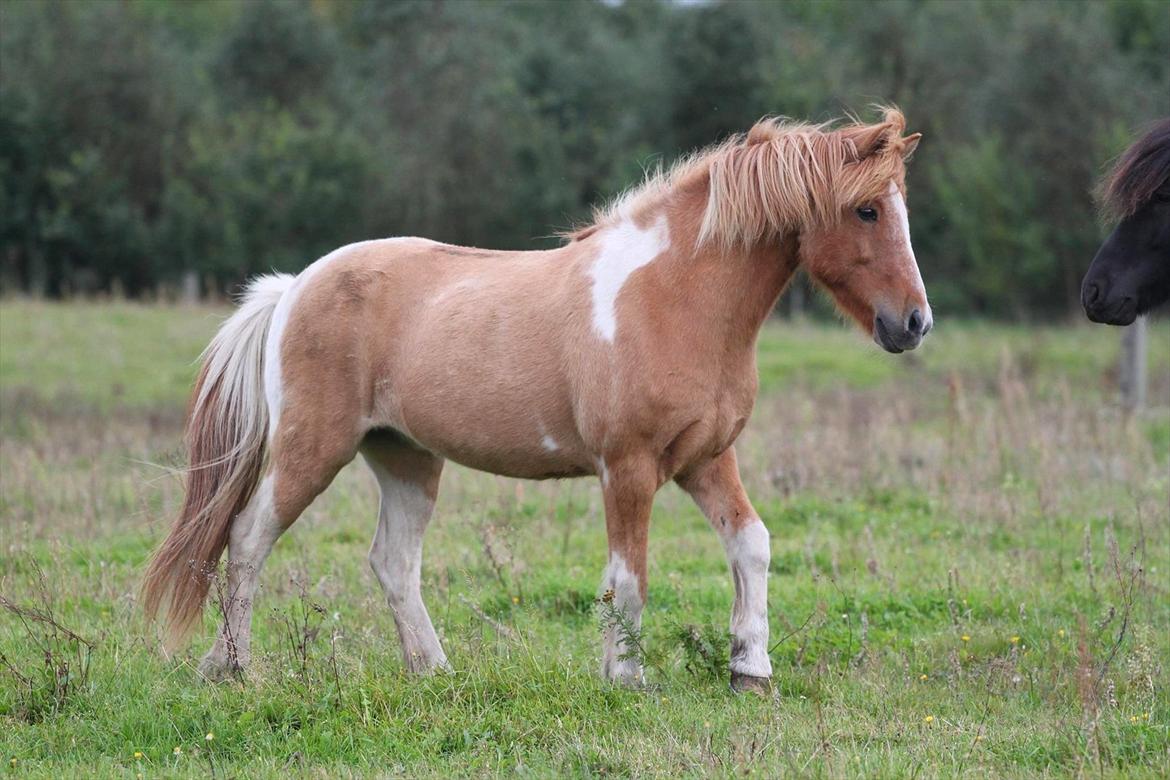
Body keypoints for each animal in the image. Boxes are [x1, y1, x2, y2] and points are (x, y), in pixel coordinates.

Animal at [143, 108, 931, 687]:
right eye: (866, 210)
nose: (913, 323)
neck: (672, 296)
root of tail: (292, 288)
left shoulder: (708, 459)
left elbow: (752, 546)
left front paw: (751, 671)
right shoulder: (629, 468)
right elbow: (630, 577)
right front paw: (626, 678)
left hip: (405, 458)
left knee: (393, 563)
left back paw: (434, 672)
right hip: (314, 449)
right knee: (248, 539)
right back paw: (233, 669)